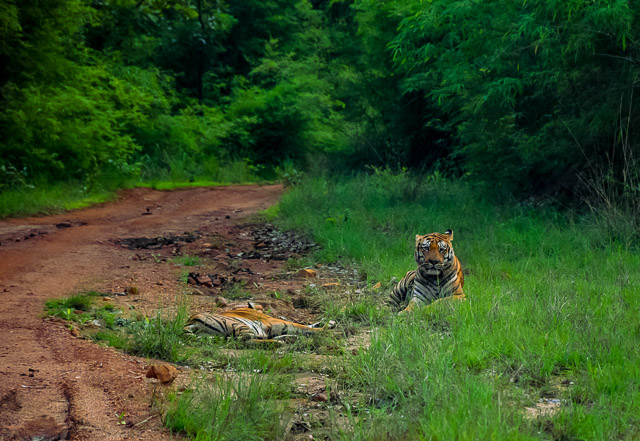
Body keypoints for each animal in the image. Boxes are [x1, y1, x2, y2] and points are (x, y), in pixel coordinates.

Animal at [184, 300, 338, 342]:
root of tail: (190, 322)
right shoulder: (275, 322)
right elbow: (303, 326)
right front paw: (327, 328)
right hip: (240, 326)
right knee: (246, 340)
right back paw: (283, 340)